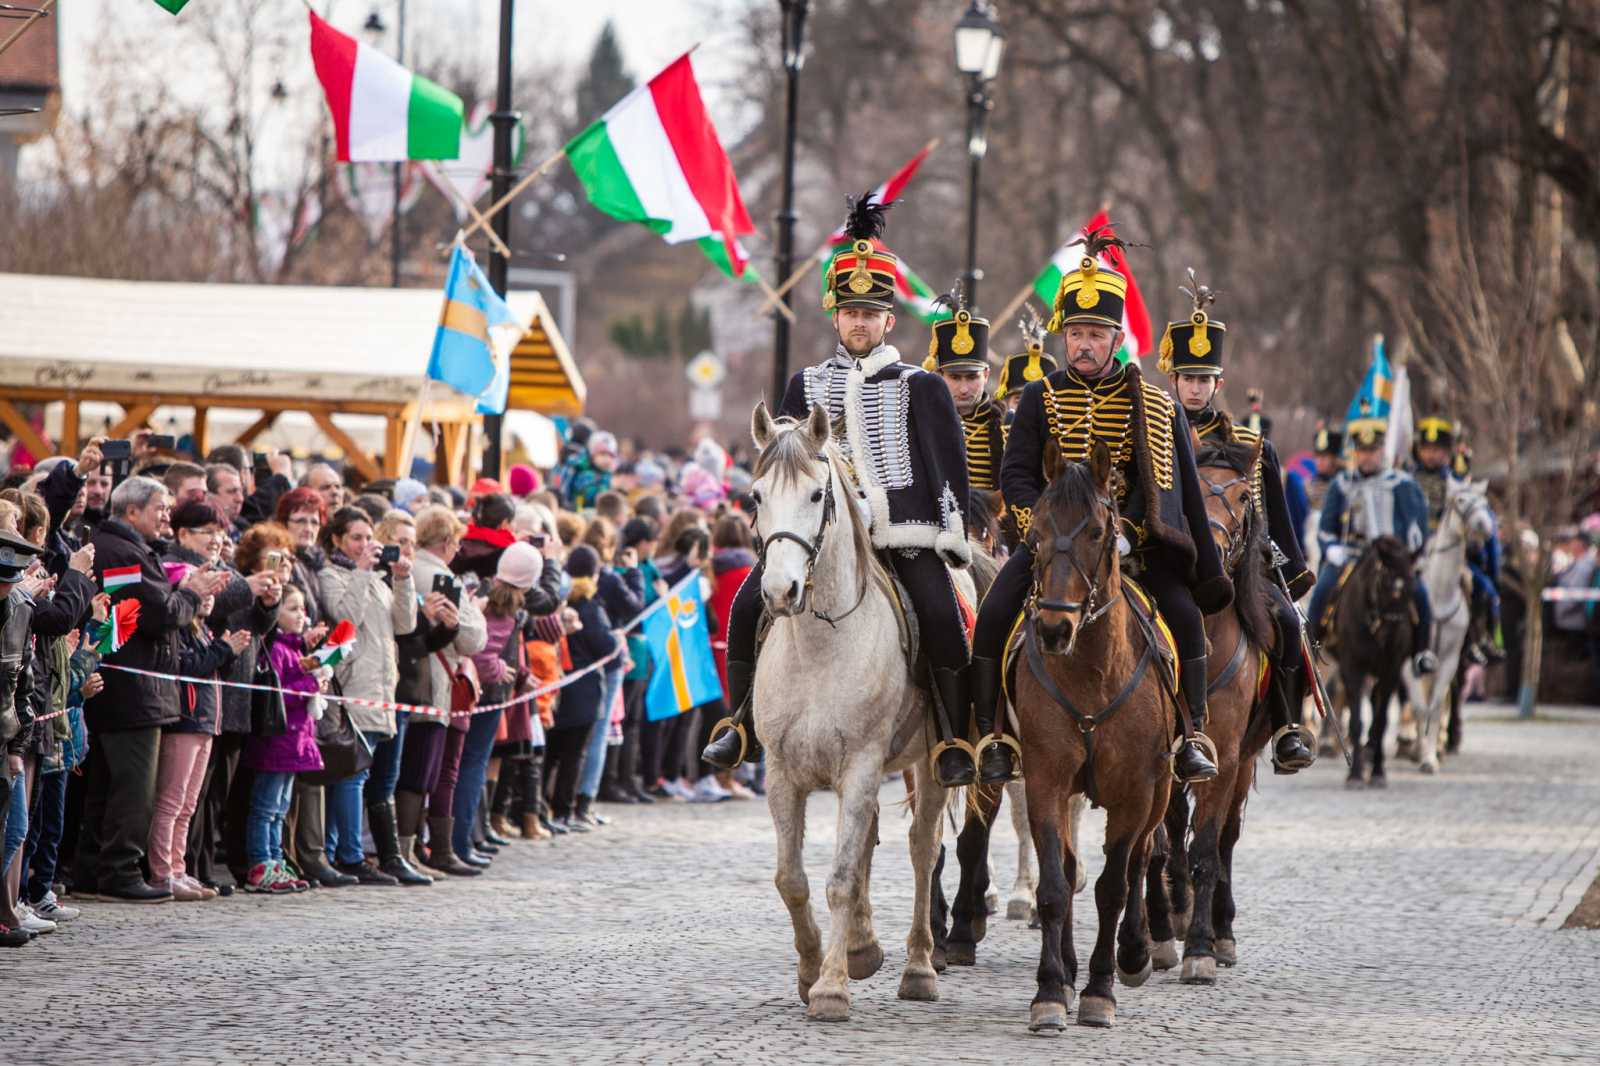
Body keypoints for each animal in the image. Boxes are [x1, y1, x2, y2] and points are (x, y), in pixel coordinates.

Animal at [742, 400, 966, 1024]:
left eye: (818, 494)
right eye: (755, 496)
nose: (779, 592)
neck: (820, 645)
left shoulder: (862, 763)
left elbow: (841, 877)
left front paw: (831, 989)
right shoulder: (782, 772)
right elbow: (791, 879)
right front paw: (811, 969)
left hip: (930, 764)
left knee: (922, 849)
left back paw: (918, 968)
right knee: (869, 839)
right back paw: (865, 948)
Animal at [1011, 438, 1177, 1030]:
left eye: (1099, 531)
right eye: (1035, 532)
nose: (1053, 628)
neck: (1090, 672)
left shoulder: (1136, 791)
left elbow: (1113, 886)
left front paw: (1101, 989)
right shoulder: (1045, 780)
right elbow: (1056, 885)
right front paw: (1050, 989)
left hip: (1164, 787)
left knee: (1145, 857)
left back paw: (1135, 951)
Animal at [1408, 476, 1491, 768]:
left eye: (1484, 501)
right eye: (1460, 500)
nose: (1485, 526)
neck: (1438, 595)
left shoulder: (1449, 659)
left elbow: (1433, 706)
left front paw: (1429, 757)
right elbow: (1419, 705)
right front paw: (1420, 750)